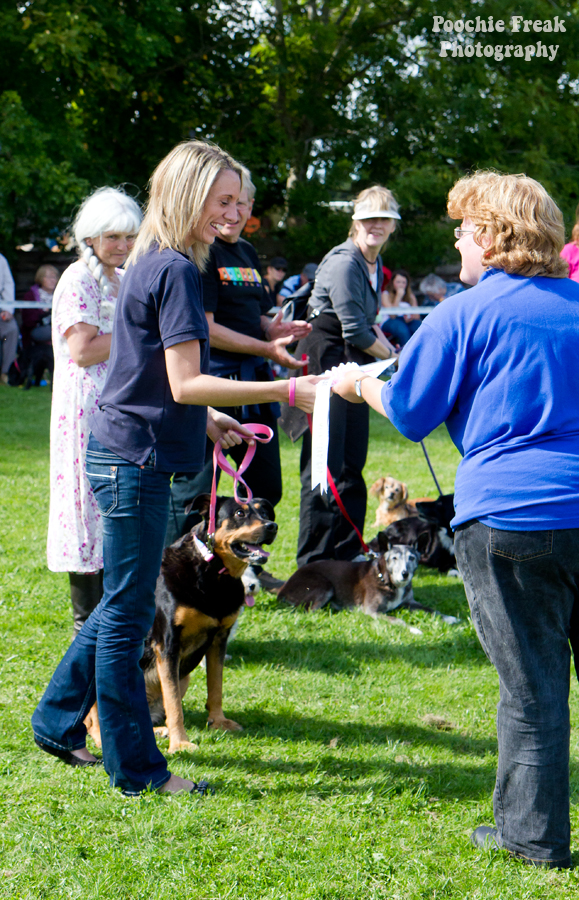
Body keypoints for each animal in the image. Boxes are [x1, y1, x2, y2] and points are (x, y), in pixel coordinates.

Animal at [84, 496, 278, 756]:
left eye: (264, 512)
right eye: (239, 513)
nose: (272, 526)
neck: (212, 573)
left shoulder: (219, 640)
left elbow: (215, 687)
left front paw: (218, 722)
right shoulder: (167, 644)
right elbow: (174, 703)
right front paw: (180, 743)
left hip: (184, 676)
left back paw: (157, 731)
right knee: (93, 721)